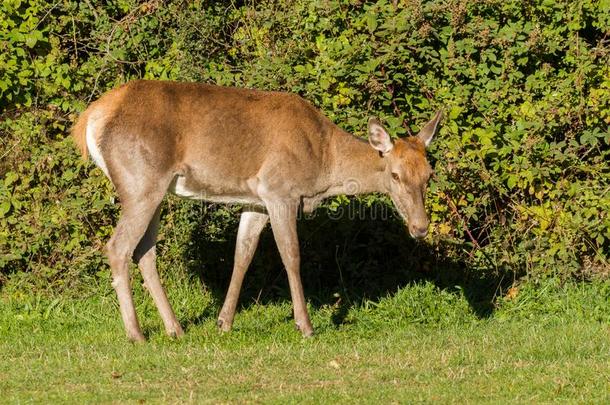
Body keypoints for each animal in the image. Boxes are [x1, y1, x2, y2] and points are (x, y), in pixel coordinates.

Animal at [72, 79, 442, 340]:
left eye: (428, 174)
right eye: (395, 174)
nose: (420, 227)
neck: (323, 163)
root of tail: (89, 119)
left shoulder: (255, 201)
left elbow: (243, 254)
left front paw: (224, 322)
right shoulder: (279, 190)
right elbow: (291, 255)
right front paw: (305, 325)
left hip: (155, 191)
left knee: (144, 251)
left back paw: (175, 328)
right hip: (140, 181)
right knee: (118, 247)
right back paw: (136, 334)